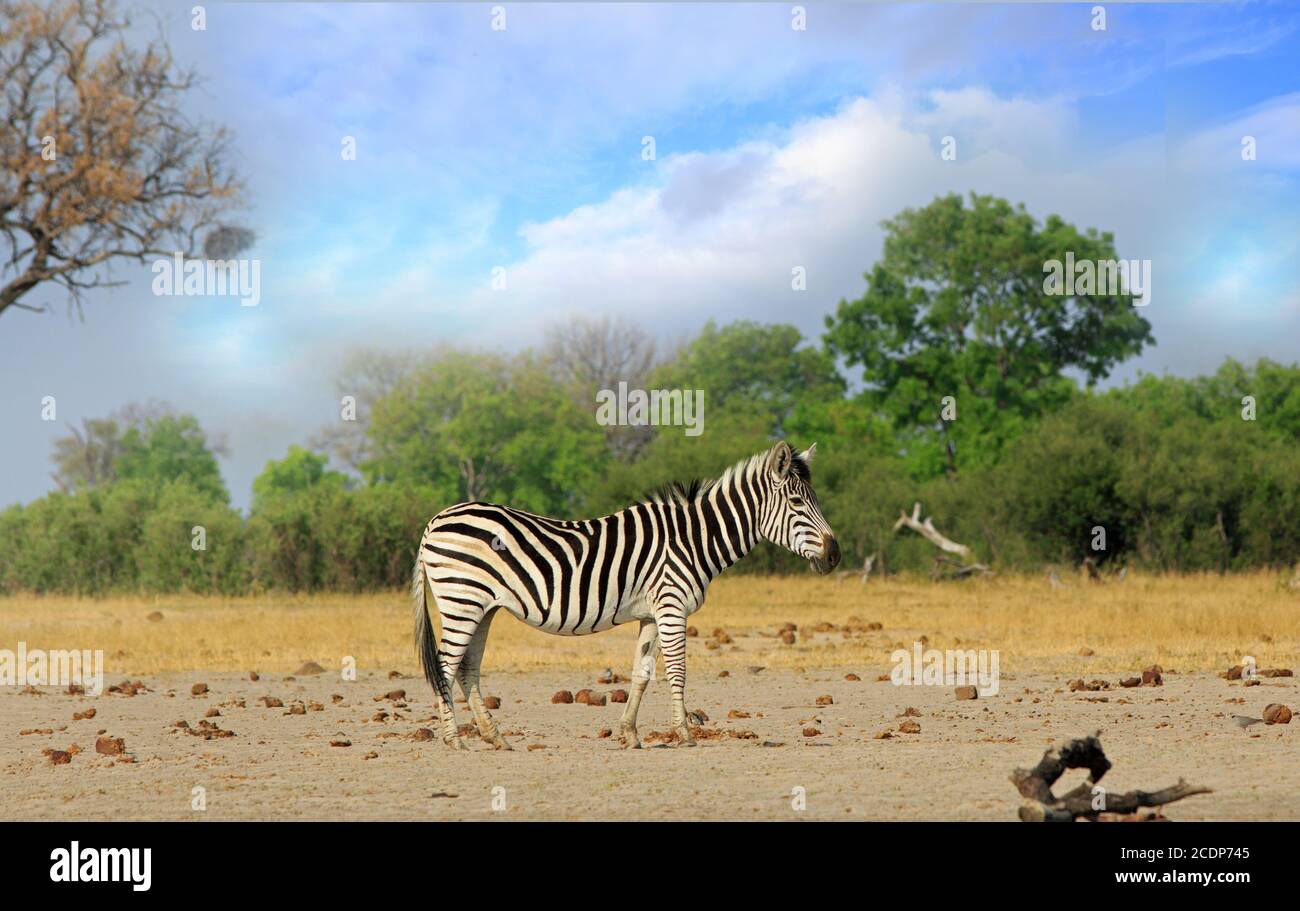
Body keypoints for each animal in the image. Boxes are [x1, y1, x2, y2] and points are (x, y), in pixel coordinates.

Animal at [412, 440, 840, 750]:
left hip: (482, 606)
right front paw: (684, 734)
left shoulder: (652, 613)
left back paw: (494, 736)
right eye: (798, 502)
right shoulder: (672, 606)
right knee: (445, 665)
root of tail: (436, 519)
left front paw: (630, 734)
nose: (834, 555)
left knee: (466, 670)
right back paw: (453, 740)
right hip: (462, 600)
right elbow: (677, 671)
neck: (693, 539)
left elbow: (641, 673)